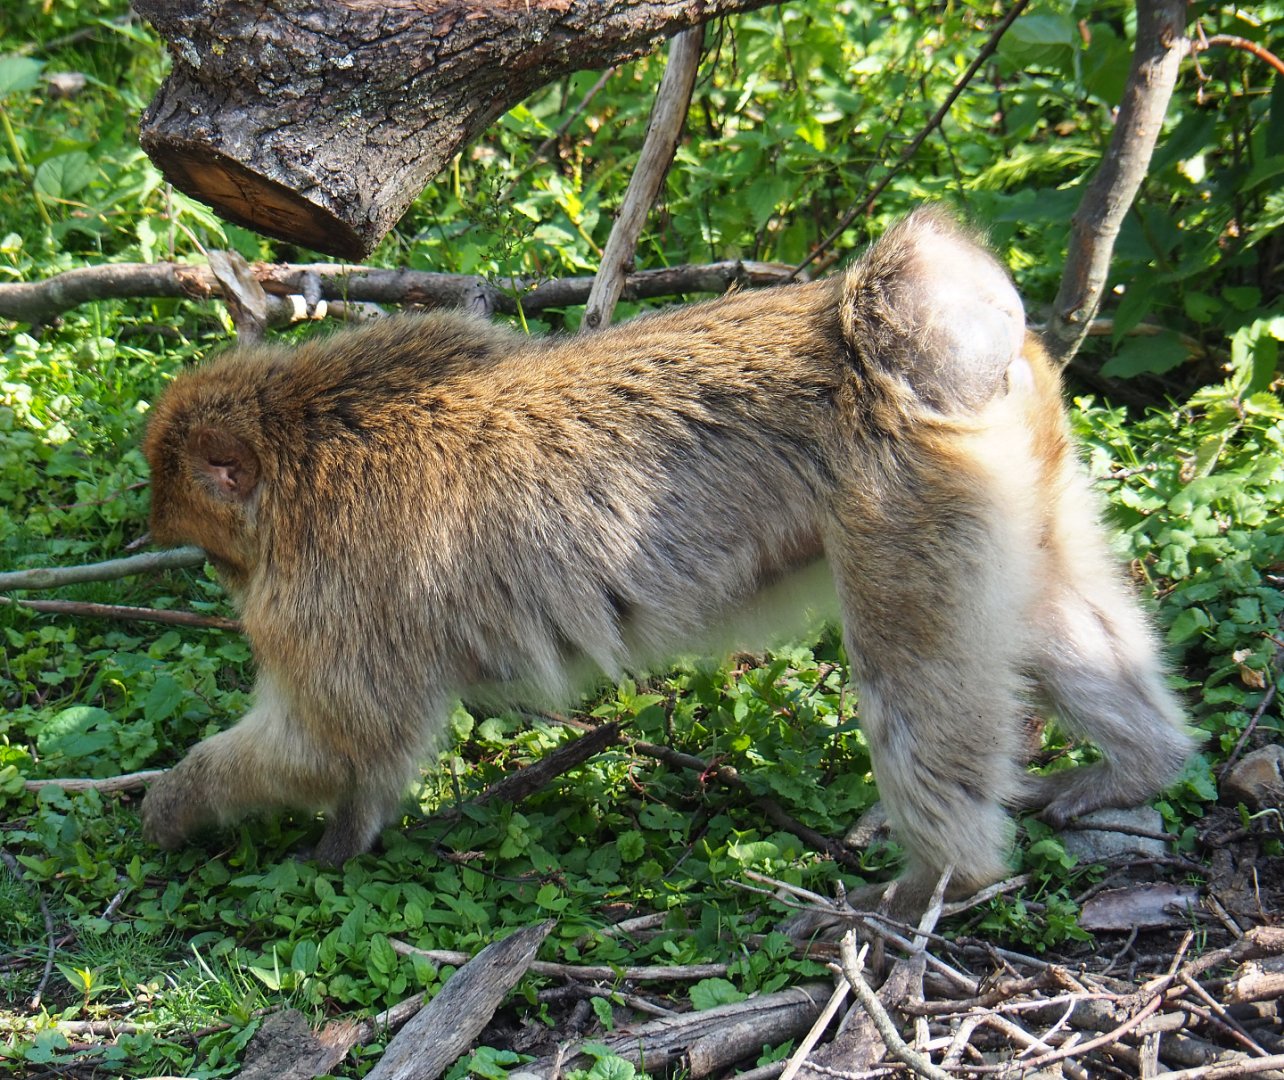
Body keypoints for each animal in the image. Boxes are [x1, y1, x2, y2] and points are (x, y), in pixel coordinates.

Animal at [139, 209, 1194, 916]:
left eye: (216, 555)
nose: (227, 588)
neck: (306, 443)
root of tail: (893, 338)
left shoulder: (330, 597)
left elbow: (332, 742)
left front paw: (178, 805)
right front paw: (342, 837)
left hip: (905, 509)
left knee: (917, 673)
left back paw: (939, 882)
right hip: (1014, 470)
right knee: (1045, 616)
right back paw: (1138, 770)